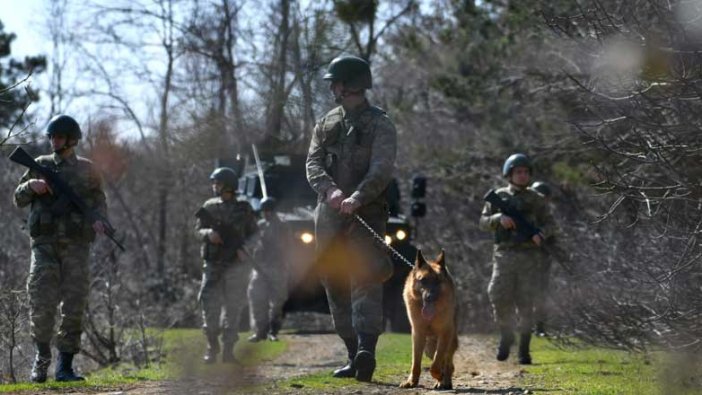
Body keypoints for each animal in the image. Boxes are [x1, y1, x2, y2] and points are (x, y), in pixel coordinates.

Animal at [398, 251, 460, 390]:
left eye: (437, 281)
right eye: (423, 280)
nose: (429, 297)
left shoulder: (444, 334)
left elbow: (436, 364)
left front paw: (439, 376)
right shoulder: (418, 334)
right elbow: (415, 362)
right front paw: (412, 382)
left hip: (448, 342)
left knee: (448, 364)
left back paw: (445, 381)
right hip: (429, 348)